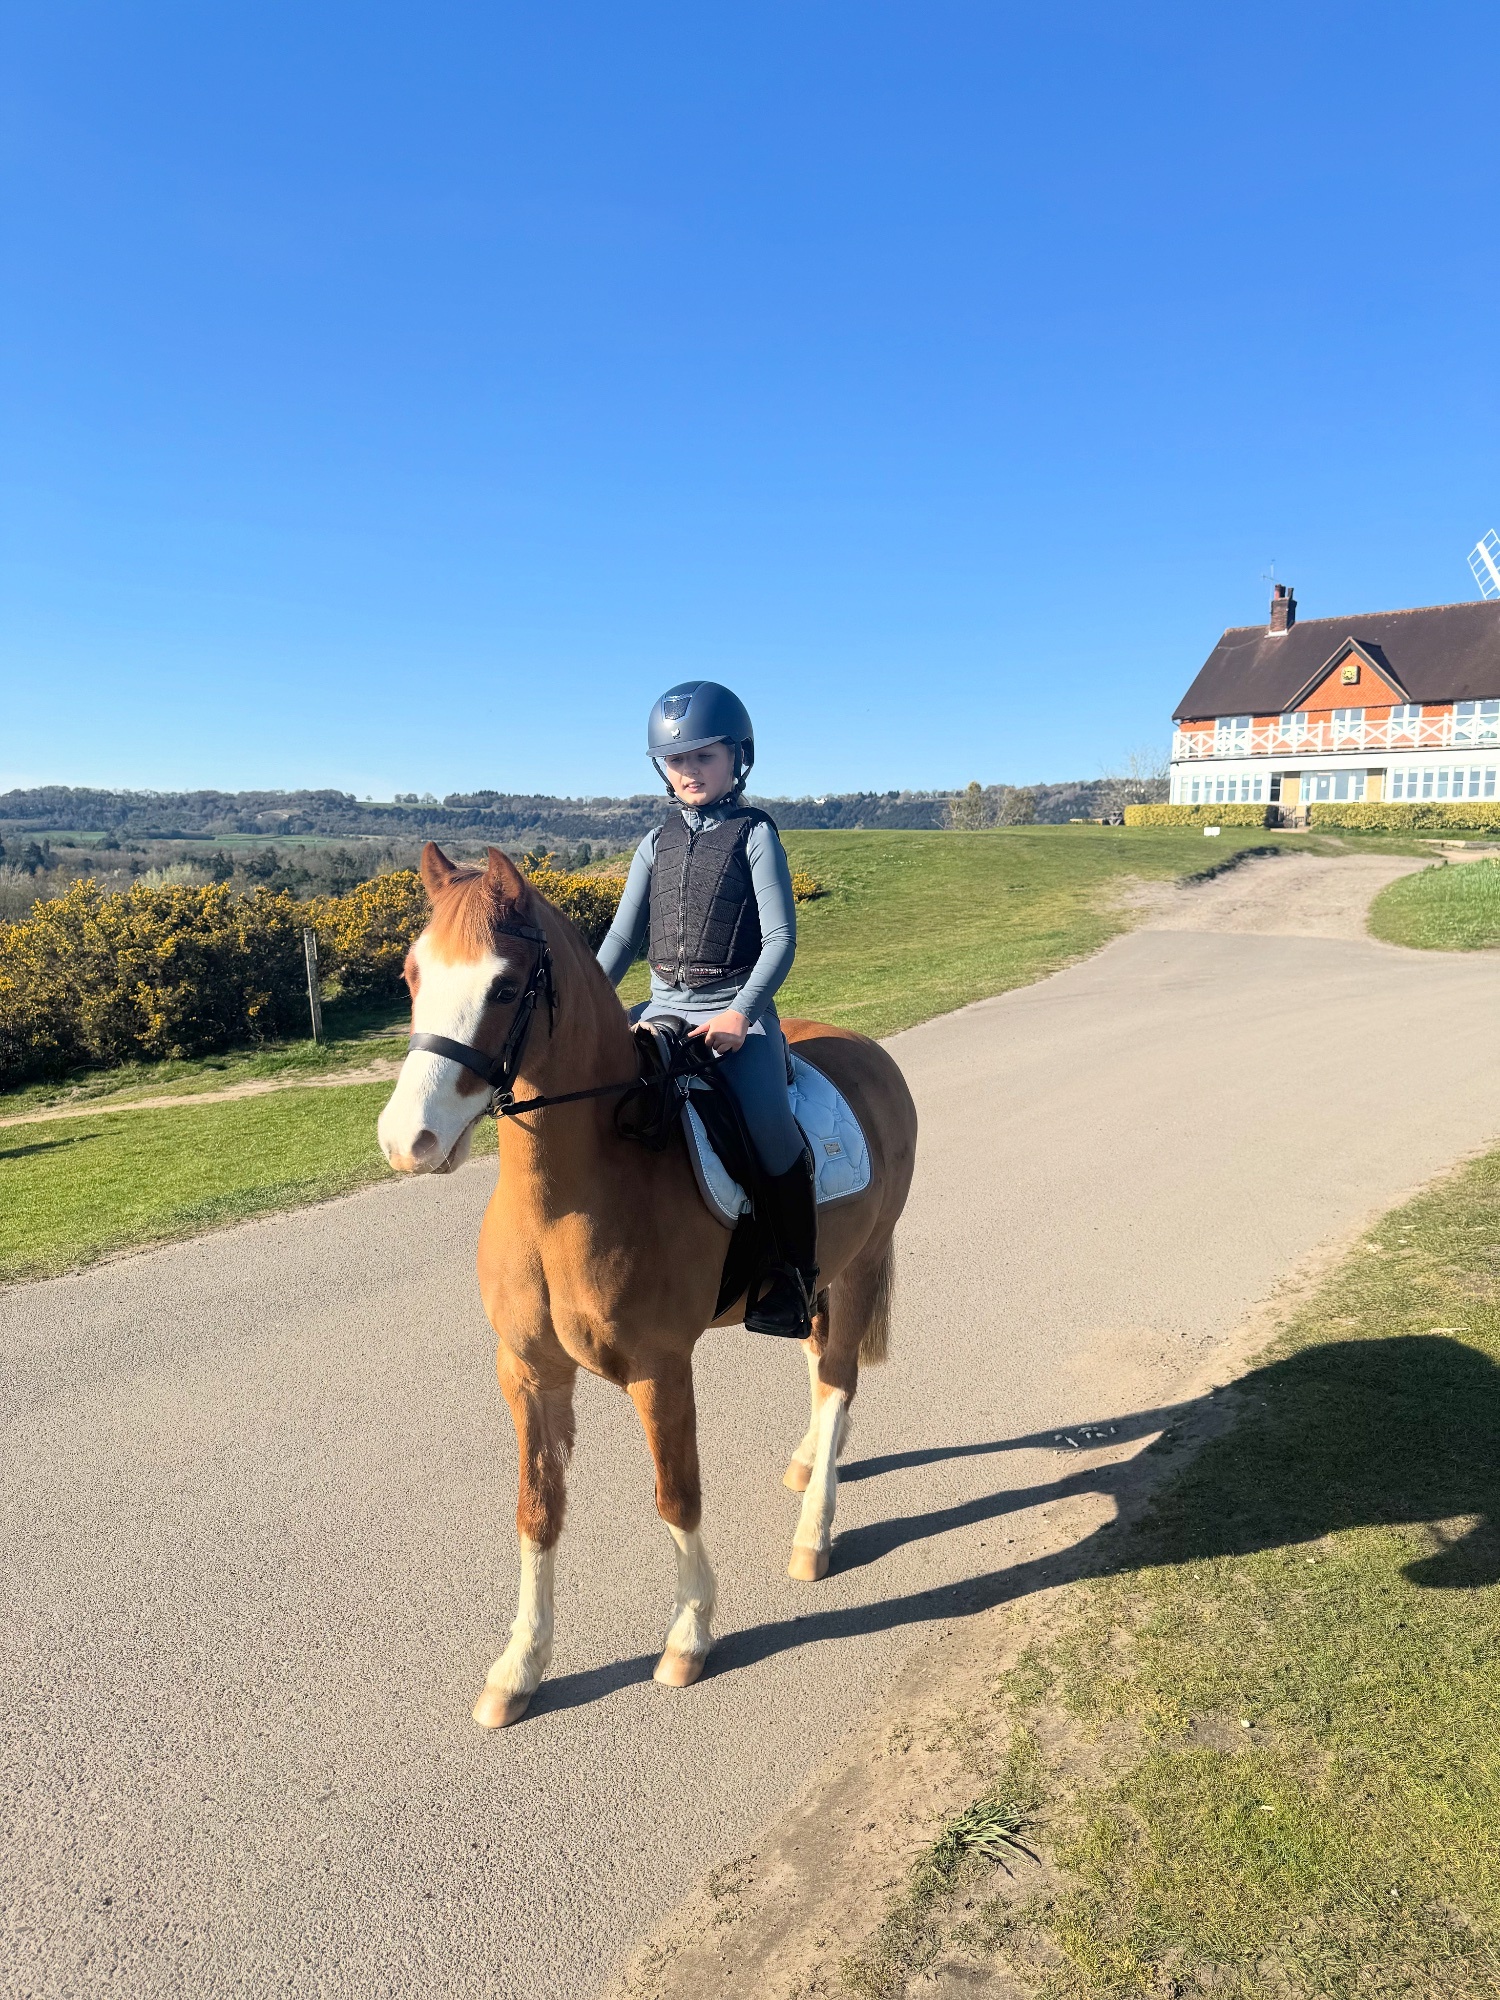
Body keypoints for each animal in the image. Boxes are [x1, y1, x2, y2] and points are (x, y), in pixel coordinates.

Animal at [377, 844, 918, 1728]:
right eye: (412, 974)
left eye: (503, 987)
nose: (406, 1141)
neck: (581, 1190)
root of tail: (869, 1053)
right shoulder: (527, 1373)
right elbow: (536, 1509)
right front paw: (520, 1667)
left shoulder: (659, 1371)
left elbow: (677, 1496)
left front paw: (690, 1636)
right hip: (819, 1277)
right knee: (818, 1363)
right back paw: (812, 1463)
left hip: (865, 1263)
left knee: (838, 1379)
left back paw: (814, 1531)